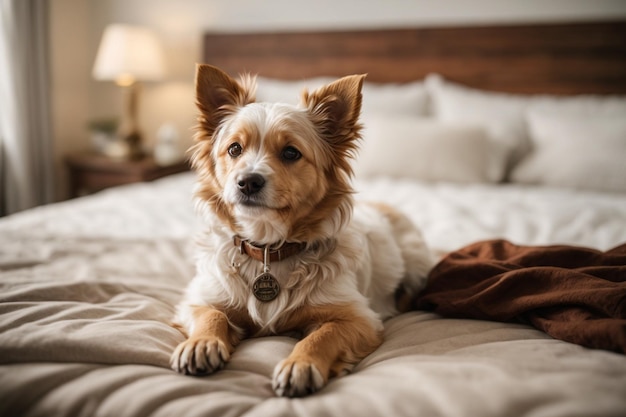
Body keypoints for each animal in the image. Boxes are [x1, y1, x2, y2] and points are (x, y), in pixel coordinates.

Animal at [171, 65, 434, 396]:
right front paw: (202, 343)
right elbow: (212, 315)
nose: (248, 182)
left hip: (415, 265)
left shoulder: (358, 318)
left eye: (291, 153)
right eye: (234, 149)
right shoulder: (197, 299)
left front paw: (301, 364)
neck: (267, 250)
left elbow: (322, 336)